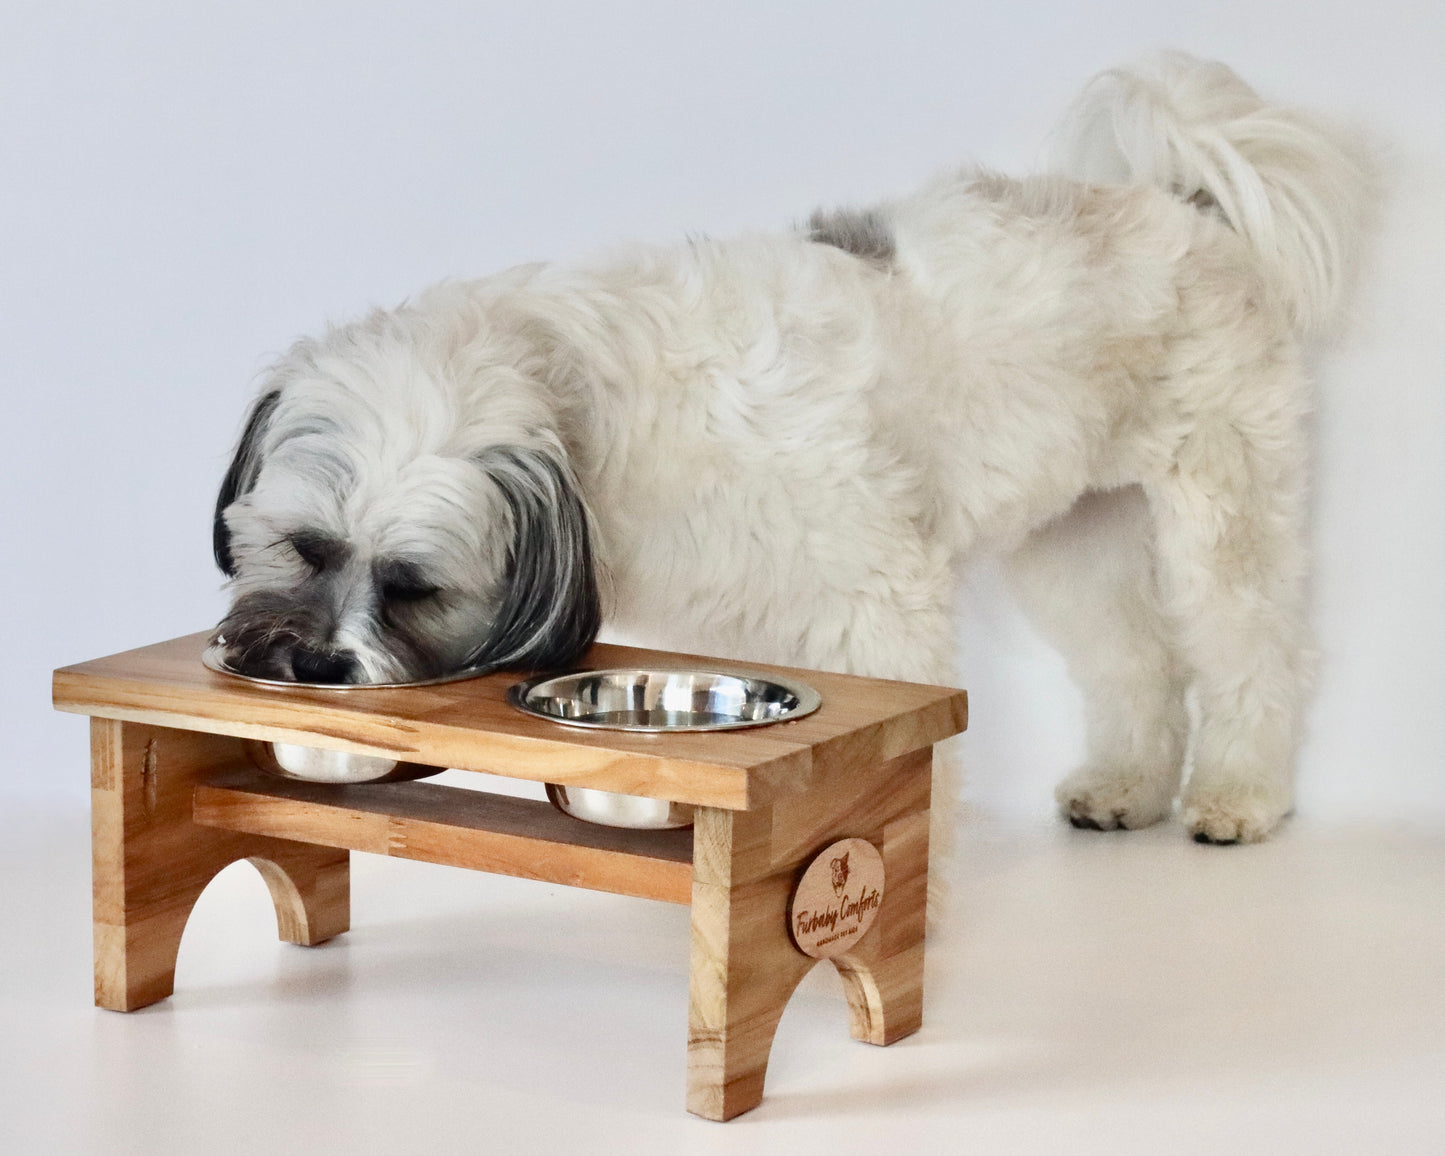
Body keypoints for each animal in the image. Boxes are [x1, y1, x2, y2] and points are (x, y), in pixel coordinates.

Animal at [209, 54, 1369, 843]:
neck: (584, 402)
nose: (316, 663)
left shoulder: (875, 599)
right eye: (303, 549)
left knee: (1255, 649)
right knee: (1132, 660)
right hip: (1075, 536)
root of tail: (1186, 201)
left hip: (1225, 504)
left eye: (414, 587)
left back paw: (1239, 797)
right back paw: (1125, 787)